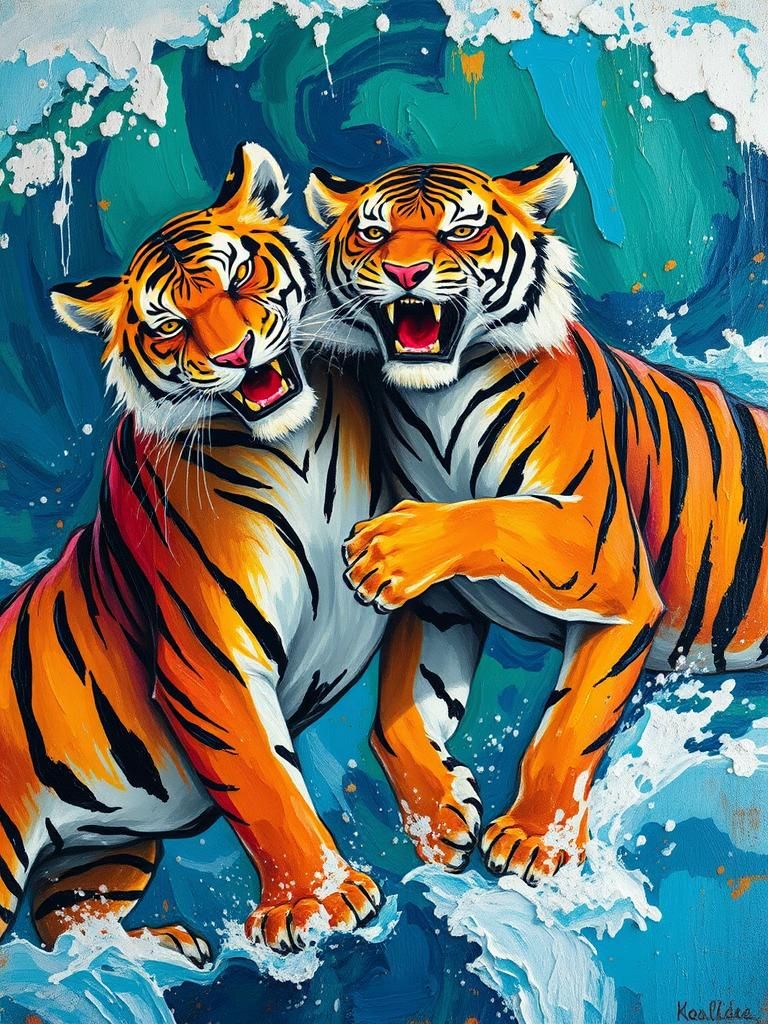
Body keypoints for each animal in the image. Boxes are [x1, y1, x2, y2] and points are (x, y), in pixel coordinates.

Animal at [0, 142, 482, 961]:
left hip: (100, 847)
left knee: (70, 920)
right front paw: (318, 900)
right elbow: (265, 782)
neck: (295, 445)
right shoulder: (209, 656)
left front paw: (439, 813)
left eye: (239, 277)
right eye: (168, 325)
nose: (234, 354)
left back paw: (153, 948)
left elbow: (408, 697)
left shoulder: (413, 569)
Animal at [303, 155, 768, 886]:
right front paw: (438, 820)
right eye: (374, 234)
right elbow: (393, 722)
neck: (439, 402)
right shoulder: (442, 609)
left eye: (462, 230)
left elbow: (568, 724)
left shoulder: (608, 565)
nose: (406, 273)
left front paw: (531, 841)